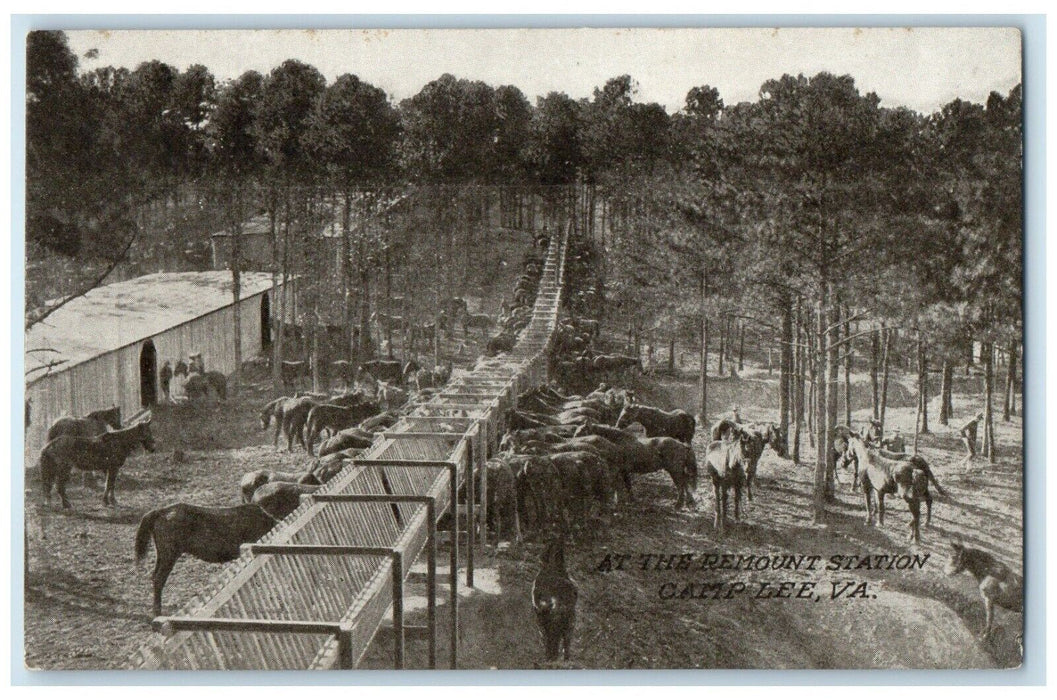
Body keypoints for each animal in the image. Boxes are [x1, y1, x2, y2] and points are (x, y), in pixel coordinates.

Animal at [135, 505, 276, 613]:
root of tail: (160, 512)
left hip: (162, 555)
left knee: (154, 577)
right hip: (169, 554)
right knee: (159, 579)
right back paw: (157, 613)